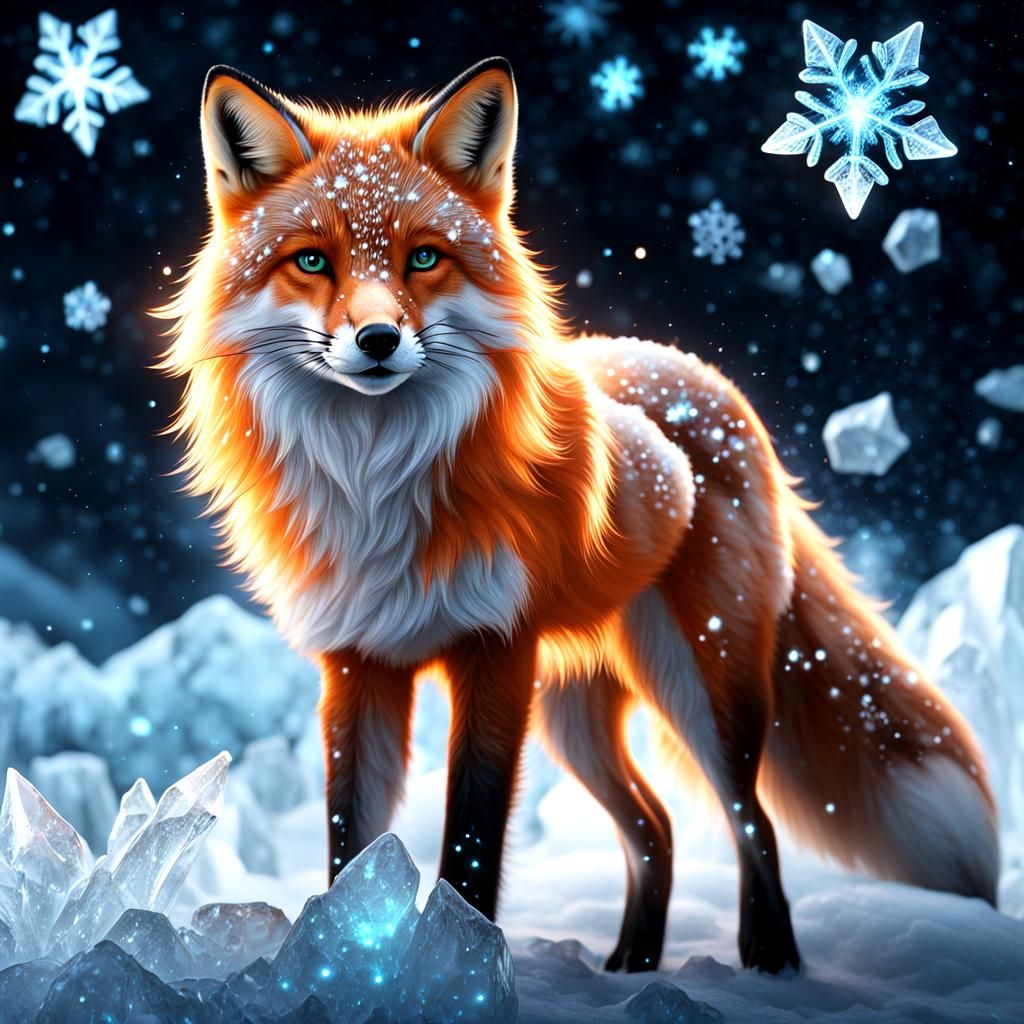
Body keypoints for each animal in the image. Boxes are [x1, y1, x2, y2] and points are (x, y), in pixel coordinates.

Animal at [156, 57, 998, 974]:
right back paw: (632, 963)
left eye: (424, 258)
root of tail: (702, 374)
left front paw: (455, 970)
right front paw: (345, 970)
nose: (378, 340)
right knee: (656, 829)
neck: (376, 485)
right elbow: (350, 844)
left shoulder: (495, 653)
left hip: (703, 687)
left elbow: (471, 844)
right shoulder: (357, 662)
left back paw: (770, 960)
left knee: (755, 824)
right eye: (311, 259)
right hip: (575, 716)